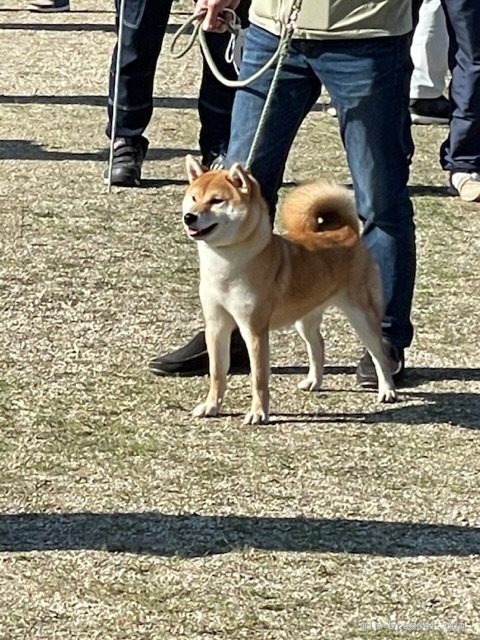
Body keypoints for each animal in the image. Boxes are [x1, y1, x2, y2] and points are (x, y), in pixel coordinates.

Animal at [182, 156, 396, 424]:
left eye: (216, 200)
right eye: (193, 197)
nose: (189, 217)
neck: (226, 263)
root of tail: (347, 231)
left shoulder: (254, 329)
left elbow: (259, 378)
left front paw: (258, 413)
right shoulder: (216, 325)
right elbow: (217, 372)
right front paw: (211, 406)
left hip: (361, 316)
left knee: (379, 353)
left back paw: (387, 390)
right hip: (305, 319)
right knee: (318, 344)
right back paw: (314, 381)